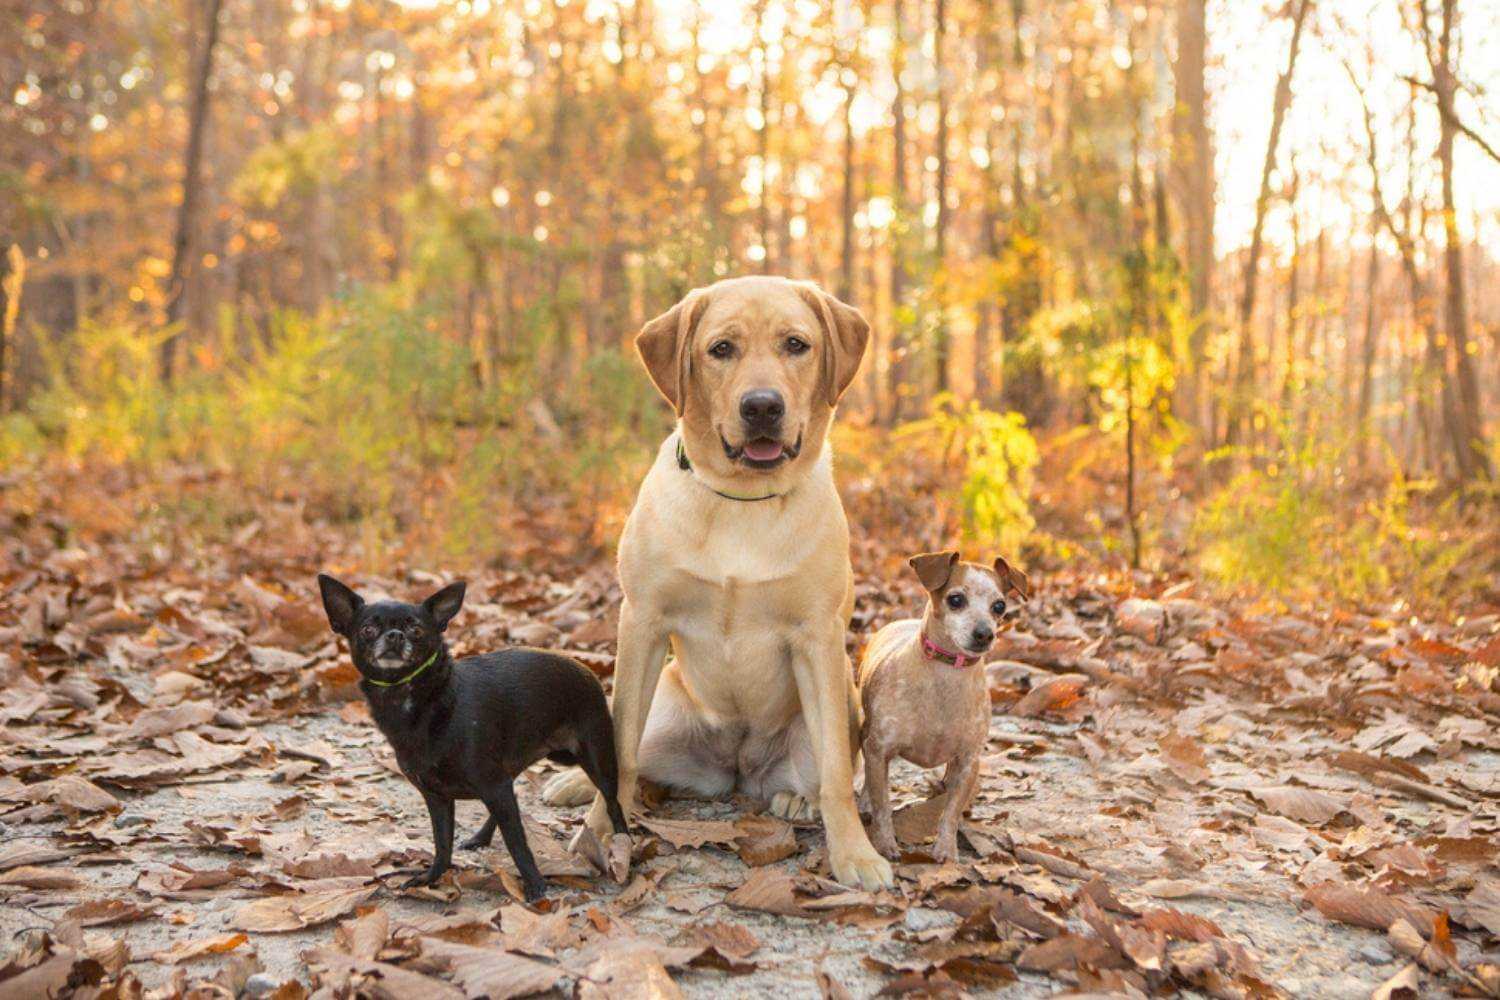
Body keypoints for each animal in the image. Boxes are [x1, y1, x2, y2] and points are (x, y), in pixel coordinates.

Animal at [858, 551, 1032, 863]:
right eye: (956, 599)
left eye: (999, 606)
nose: (984, 634)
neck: (946, 675)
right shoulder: (879, 750)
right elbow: (882, 805)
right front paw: (885, 843)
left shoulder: (967, 762)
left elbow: (950, 812)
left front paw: (946, 849)